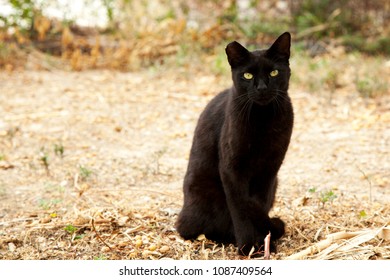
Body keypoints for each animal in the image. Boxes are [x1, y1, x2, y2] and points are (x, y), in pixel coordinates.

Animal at [176, 32, 292, 256]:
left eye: (274, 72)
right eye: (247, 76)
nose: (262, 87)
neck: (262, 119)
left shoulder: (270, 169)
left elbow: (258, 204)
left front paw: (264, 242)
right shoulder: (231, 168)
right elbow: (241, 207)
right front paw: (249, 247)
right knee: (198, 229)